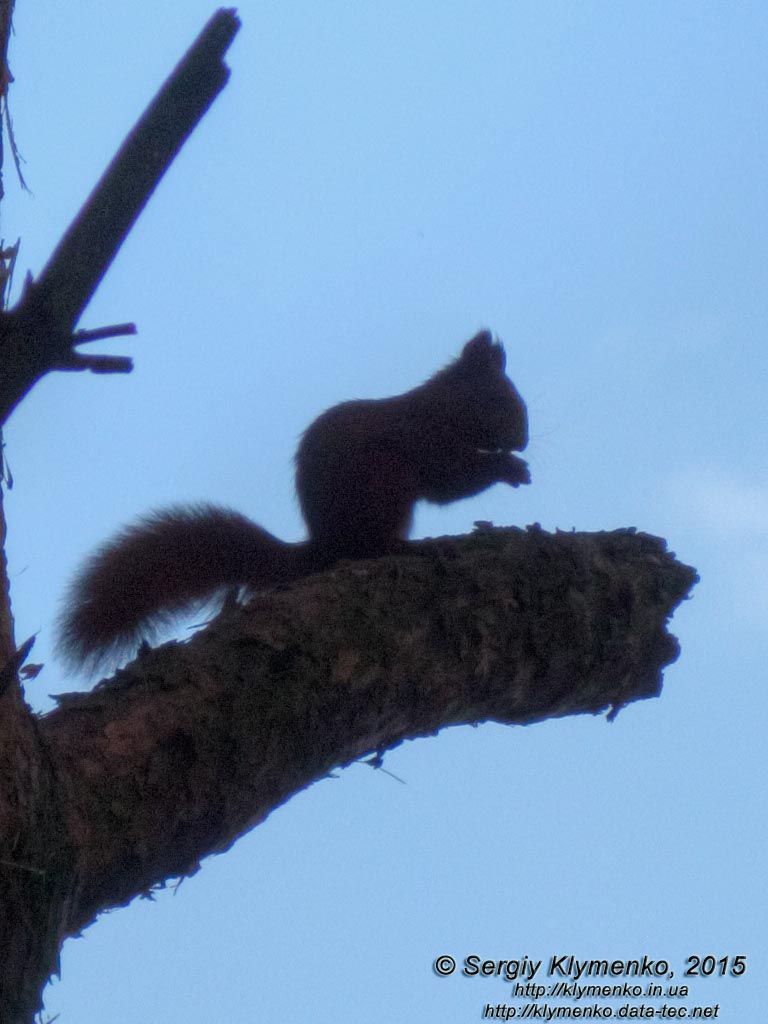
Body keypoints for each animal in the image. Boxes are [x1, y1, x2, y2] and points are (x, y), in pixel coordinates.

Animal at [58, 327, 528, 675]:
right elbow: (449, 482)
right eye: (499, 399)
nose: (522, 440)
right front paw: (507, 468)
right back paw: (409, 546)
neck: (442, 408)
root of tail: (325, 546)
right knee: (372, 547)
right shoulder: (423, 440)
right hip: (383, 494)